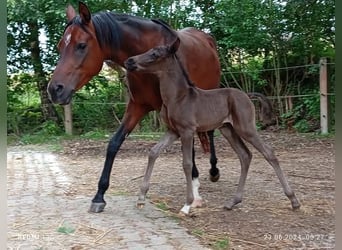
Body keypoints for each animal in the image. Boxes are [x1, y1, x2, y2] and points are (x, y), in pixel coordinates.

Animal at [47, 1, 222, 213]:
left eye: (81, 45)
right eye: (60, 46)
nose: (54, 90)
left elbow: (189, 150)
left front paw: (194, 193)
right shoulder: (137, 107)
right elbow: (114, 143)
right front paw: (99, 196)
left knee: (210, 133)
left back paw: (213, 171)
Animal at [124, 36, 300, 214]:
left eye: (155, 54)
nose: (129, 61)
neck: (177, 97)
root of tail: (247, 95)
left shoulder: (187, 131)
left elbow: (187, 163)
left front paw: (187, 205)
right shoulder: (173, 131)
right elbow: (153, 152)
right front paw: (141, 198)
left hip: (246, 128)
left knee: (268, 152)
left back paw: (294, 200)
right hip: (228, 129)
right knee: (245, 155)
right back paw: (233, 202)